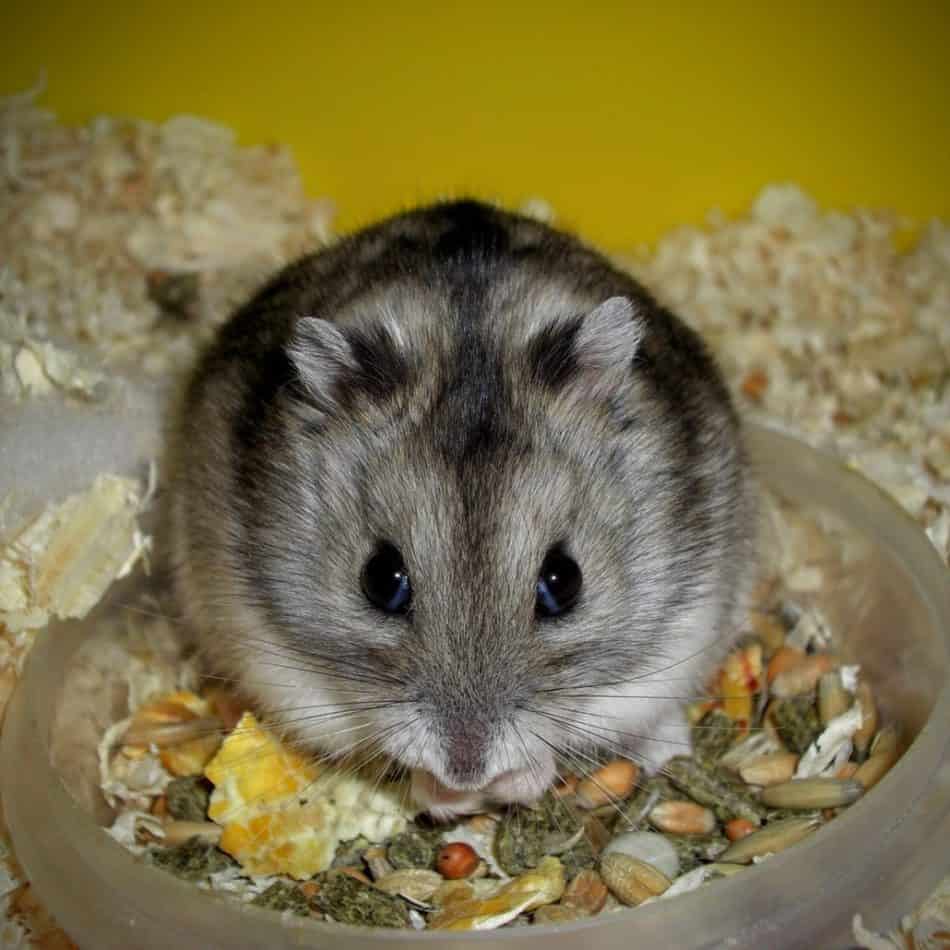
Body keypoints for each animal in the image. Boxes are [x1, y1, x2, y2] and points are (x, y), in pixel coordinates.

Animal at [167, 200, 756, 818]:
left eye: (563, 582)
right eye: (380, 580)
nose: (468, 770)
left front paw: (506, 785)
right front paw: (448, 797)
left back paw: (668, 751)